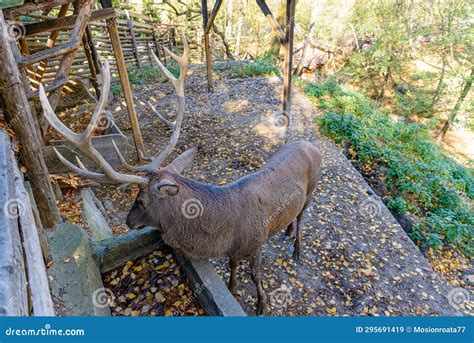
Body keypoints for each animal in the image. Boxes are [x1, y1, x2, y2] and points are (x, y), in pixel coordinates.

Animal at [39, 35, 324, 318]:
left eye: (141, 200)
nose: (128, 221)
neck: (226, 232)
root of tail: (311, 144)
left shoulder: (257, 242)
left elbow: (255, 276)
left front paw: (262, 304)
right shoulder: (234, 251)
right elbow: (232, 267)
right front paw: (233, 288)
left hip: (311, 189)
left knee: (302, 216)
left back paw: (297, 248)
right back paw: (287, 230)